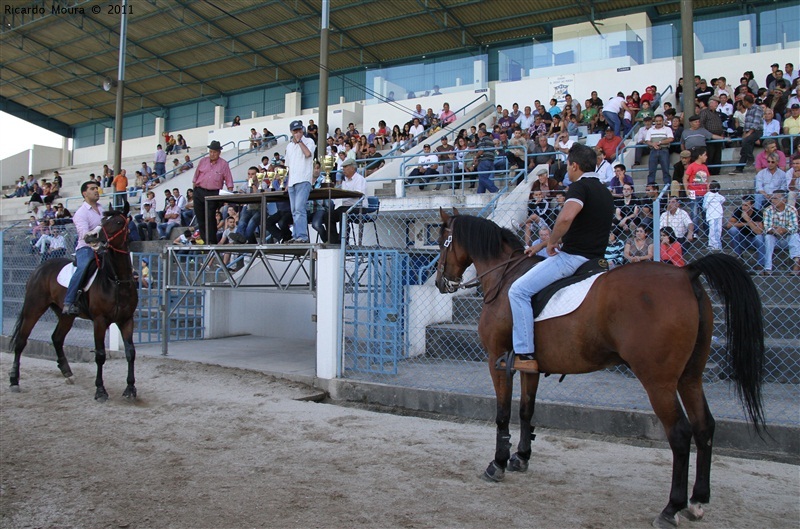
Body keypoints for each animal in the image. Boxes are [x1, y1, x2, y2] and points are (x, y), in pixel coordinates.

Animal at [9, 206, 139, 400]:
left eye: (117, 222)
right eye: (103, 221)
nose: (91, 236)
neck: (116, 280)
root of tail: (40, 268)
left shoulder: (126, 320)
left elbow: (130, 352)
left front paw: (130, 388)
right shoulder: (100, 321)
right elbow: (100, 355)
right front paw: (100, 390)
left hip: (65, 315)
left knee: (56, 338)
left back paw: (67, 373)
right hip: (34, 308)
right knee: (21, 342)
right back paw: (14, 381)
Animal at [434, 208, 764, 524]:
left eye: (442, 242)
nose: (440, 282)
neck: (505, 277)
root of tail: (687, 273)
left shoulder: (497, 361)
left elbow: (502, 415)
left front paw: (498, 463)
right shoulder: (530, 366)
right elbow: (527, 411)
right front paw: (522, 457)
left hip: (659, 382)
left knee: (681, 434)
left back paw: (671, 508)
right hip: (690, 377)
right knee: (704, 425)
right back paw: (696, 502)